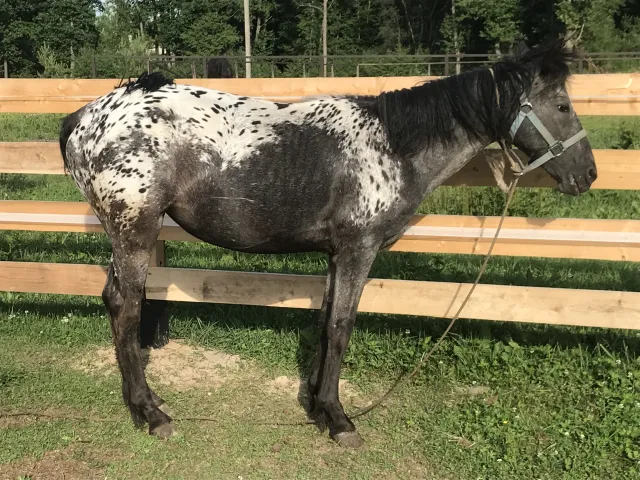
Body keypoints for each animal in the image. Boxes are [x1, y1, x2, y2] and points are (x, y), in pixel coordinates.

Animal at [59, 38, 596, 447]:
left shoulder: (338, 253)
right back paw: (150, 413)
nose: (587, 175)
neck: (392, 145)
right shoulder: (360, 249)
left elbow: (324, 323)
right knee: (126, 308)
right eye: (563, 106)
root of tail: (86, 116)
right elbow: (341, 327)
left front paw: (318, 405)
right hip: (135, 230)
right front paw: (339, 420)